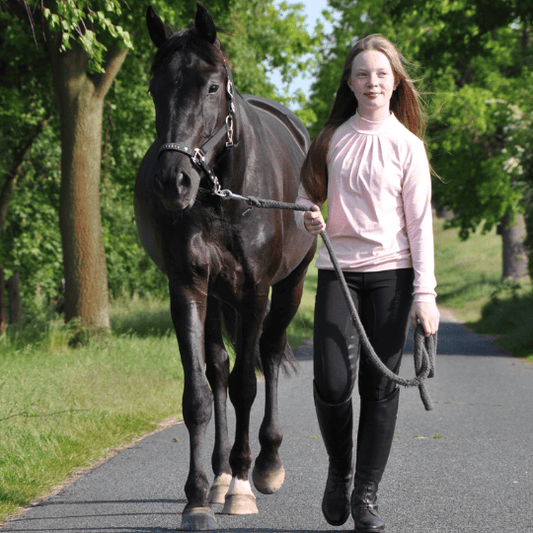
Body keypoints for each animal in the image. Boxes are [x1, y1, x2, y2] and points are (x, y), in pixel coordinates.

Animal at [135, 3, 316, 528]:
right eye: (155, 88)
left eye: (212, 86)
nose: (173, 182)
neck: (223, 196)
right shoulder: (189, 288)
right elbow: (198, 393)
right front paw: (198, 497)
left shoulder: (256, 291)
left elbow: (245, 385)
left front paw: (241, 486)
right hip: (217, 297)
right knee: (217, 369)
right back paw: (216, 476)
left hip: (291, 285)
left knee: (269, 354)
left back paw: (265, 465)